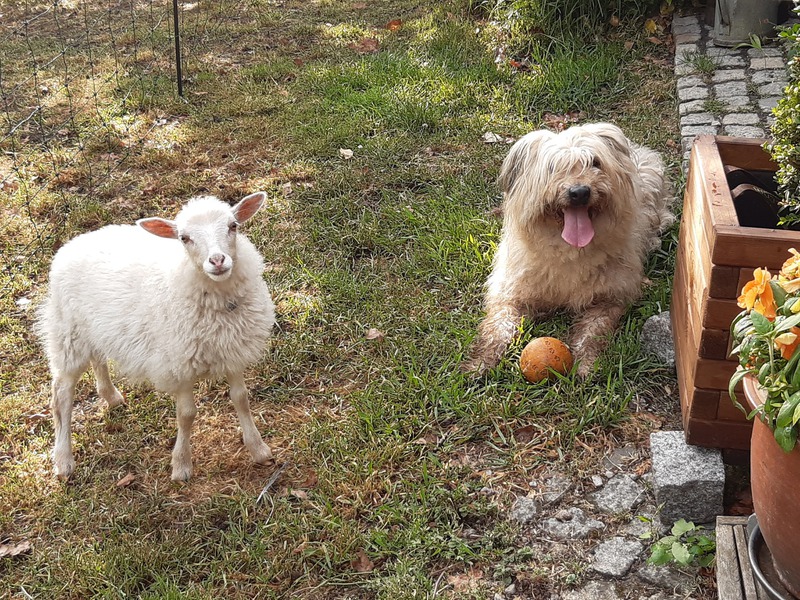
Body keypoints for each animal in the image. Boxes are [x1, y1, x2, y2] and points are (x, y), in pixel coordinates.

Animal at [36, 192, 276, 482]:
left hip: (94, 329)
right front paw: (181, 465)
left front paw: (258, 449)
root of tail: (72, 243)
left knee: (98, 359)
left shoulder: (233, 352)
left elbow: (241, 399)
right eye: (184, 238)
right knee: (61, 394)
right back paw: (63, 460)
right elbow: (187, 414)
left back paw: (111, 396)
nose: (218, 260)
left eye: (233, 226)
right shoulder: (179, 363)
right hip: (67, 333)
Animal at [462, 122, 673, 377]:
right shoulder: (510, 295)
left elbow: (592, 333)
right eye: (552, 167)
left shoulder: (609, 300)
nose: (580, 192)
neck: (569, 250)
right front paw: (480, 363)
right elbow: (497, 329)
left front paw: (585, 364)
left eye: (595, 162)